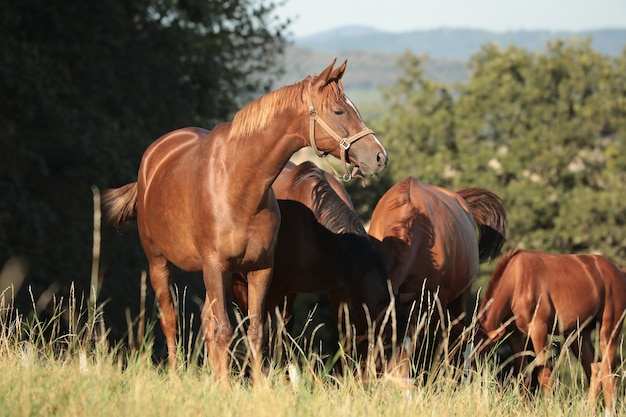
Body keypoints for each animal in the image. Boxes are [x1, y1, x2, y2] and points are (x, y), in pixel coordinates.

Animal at [472, 249, 624, 408]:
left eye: (480, 352)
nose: (469, 380)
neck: (517, 280)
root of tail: (619, 272)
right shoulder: (515, 335)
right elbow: (523, 374)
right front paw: (524, 408)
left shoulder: (539, 330)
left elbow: (545, 375)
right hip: (579, 335)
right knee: (595, 370)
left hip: (608, 331)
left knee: (609, 373)